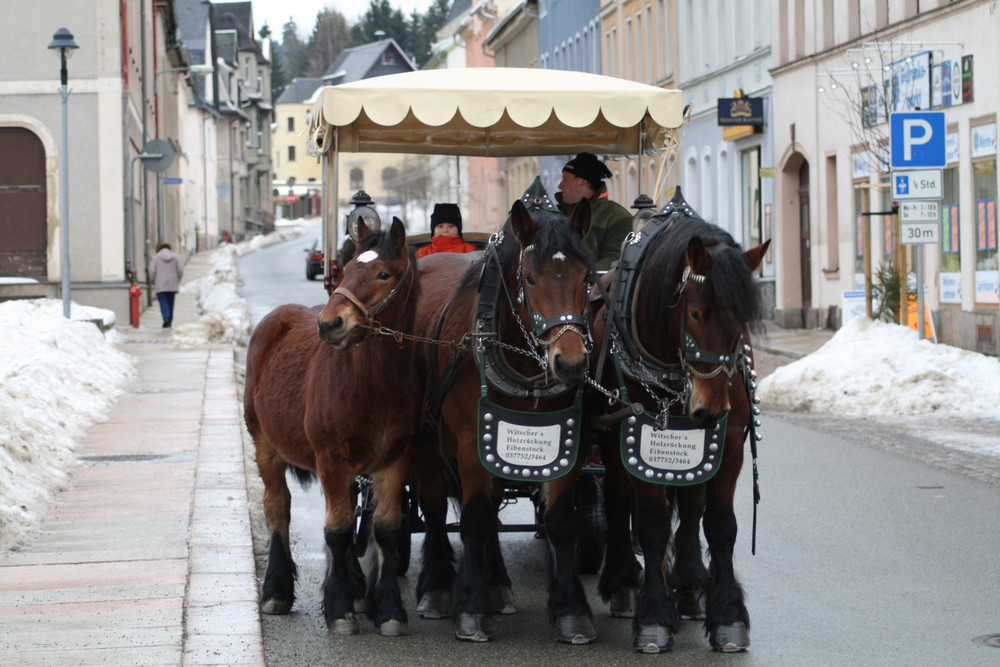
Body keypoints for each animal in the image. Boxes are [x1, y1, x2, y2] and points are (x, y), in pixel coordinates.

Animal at [244, 219, 420, 636]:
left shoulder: (396, 459)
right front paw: (339, 610)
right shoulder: (332, 459)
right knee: (278, 506)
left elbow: (385, 530)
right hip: (265, 445)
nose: (329, 323)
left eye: (383, 273)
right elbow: (337, 531)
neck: (374, 383)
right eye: (349, 266)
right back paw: (277, 591)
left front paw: (388, 609)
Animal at [410, 196, 596, 644]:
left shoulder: (566, 440)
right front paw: (470, 610)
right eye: (529, 278)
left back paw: (495, 582)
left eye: (587, 277)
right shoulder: (469, 443)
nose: (570, 363)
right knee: (435, 507)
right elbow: (473, 520)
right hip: (426, 443)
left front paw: (571, 610)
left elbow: (561, 521)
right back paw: (438, 587)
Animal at [588, 190, 768, 656]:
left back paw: (689, 583)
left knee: (690, 506)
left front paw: (727, 615)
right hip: (612, 440)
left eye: (743, 319)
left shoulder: (729, 442)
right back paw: (623, 581)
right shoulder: (640, 436)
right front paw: (654, 616)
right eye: (697, 314)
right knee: (617, 500)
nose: (712, 407)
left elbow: (719, 524)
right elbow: (650, 525)